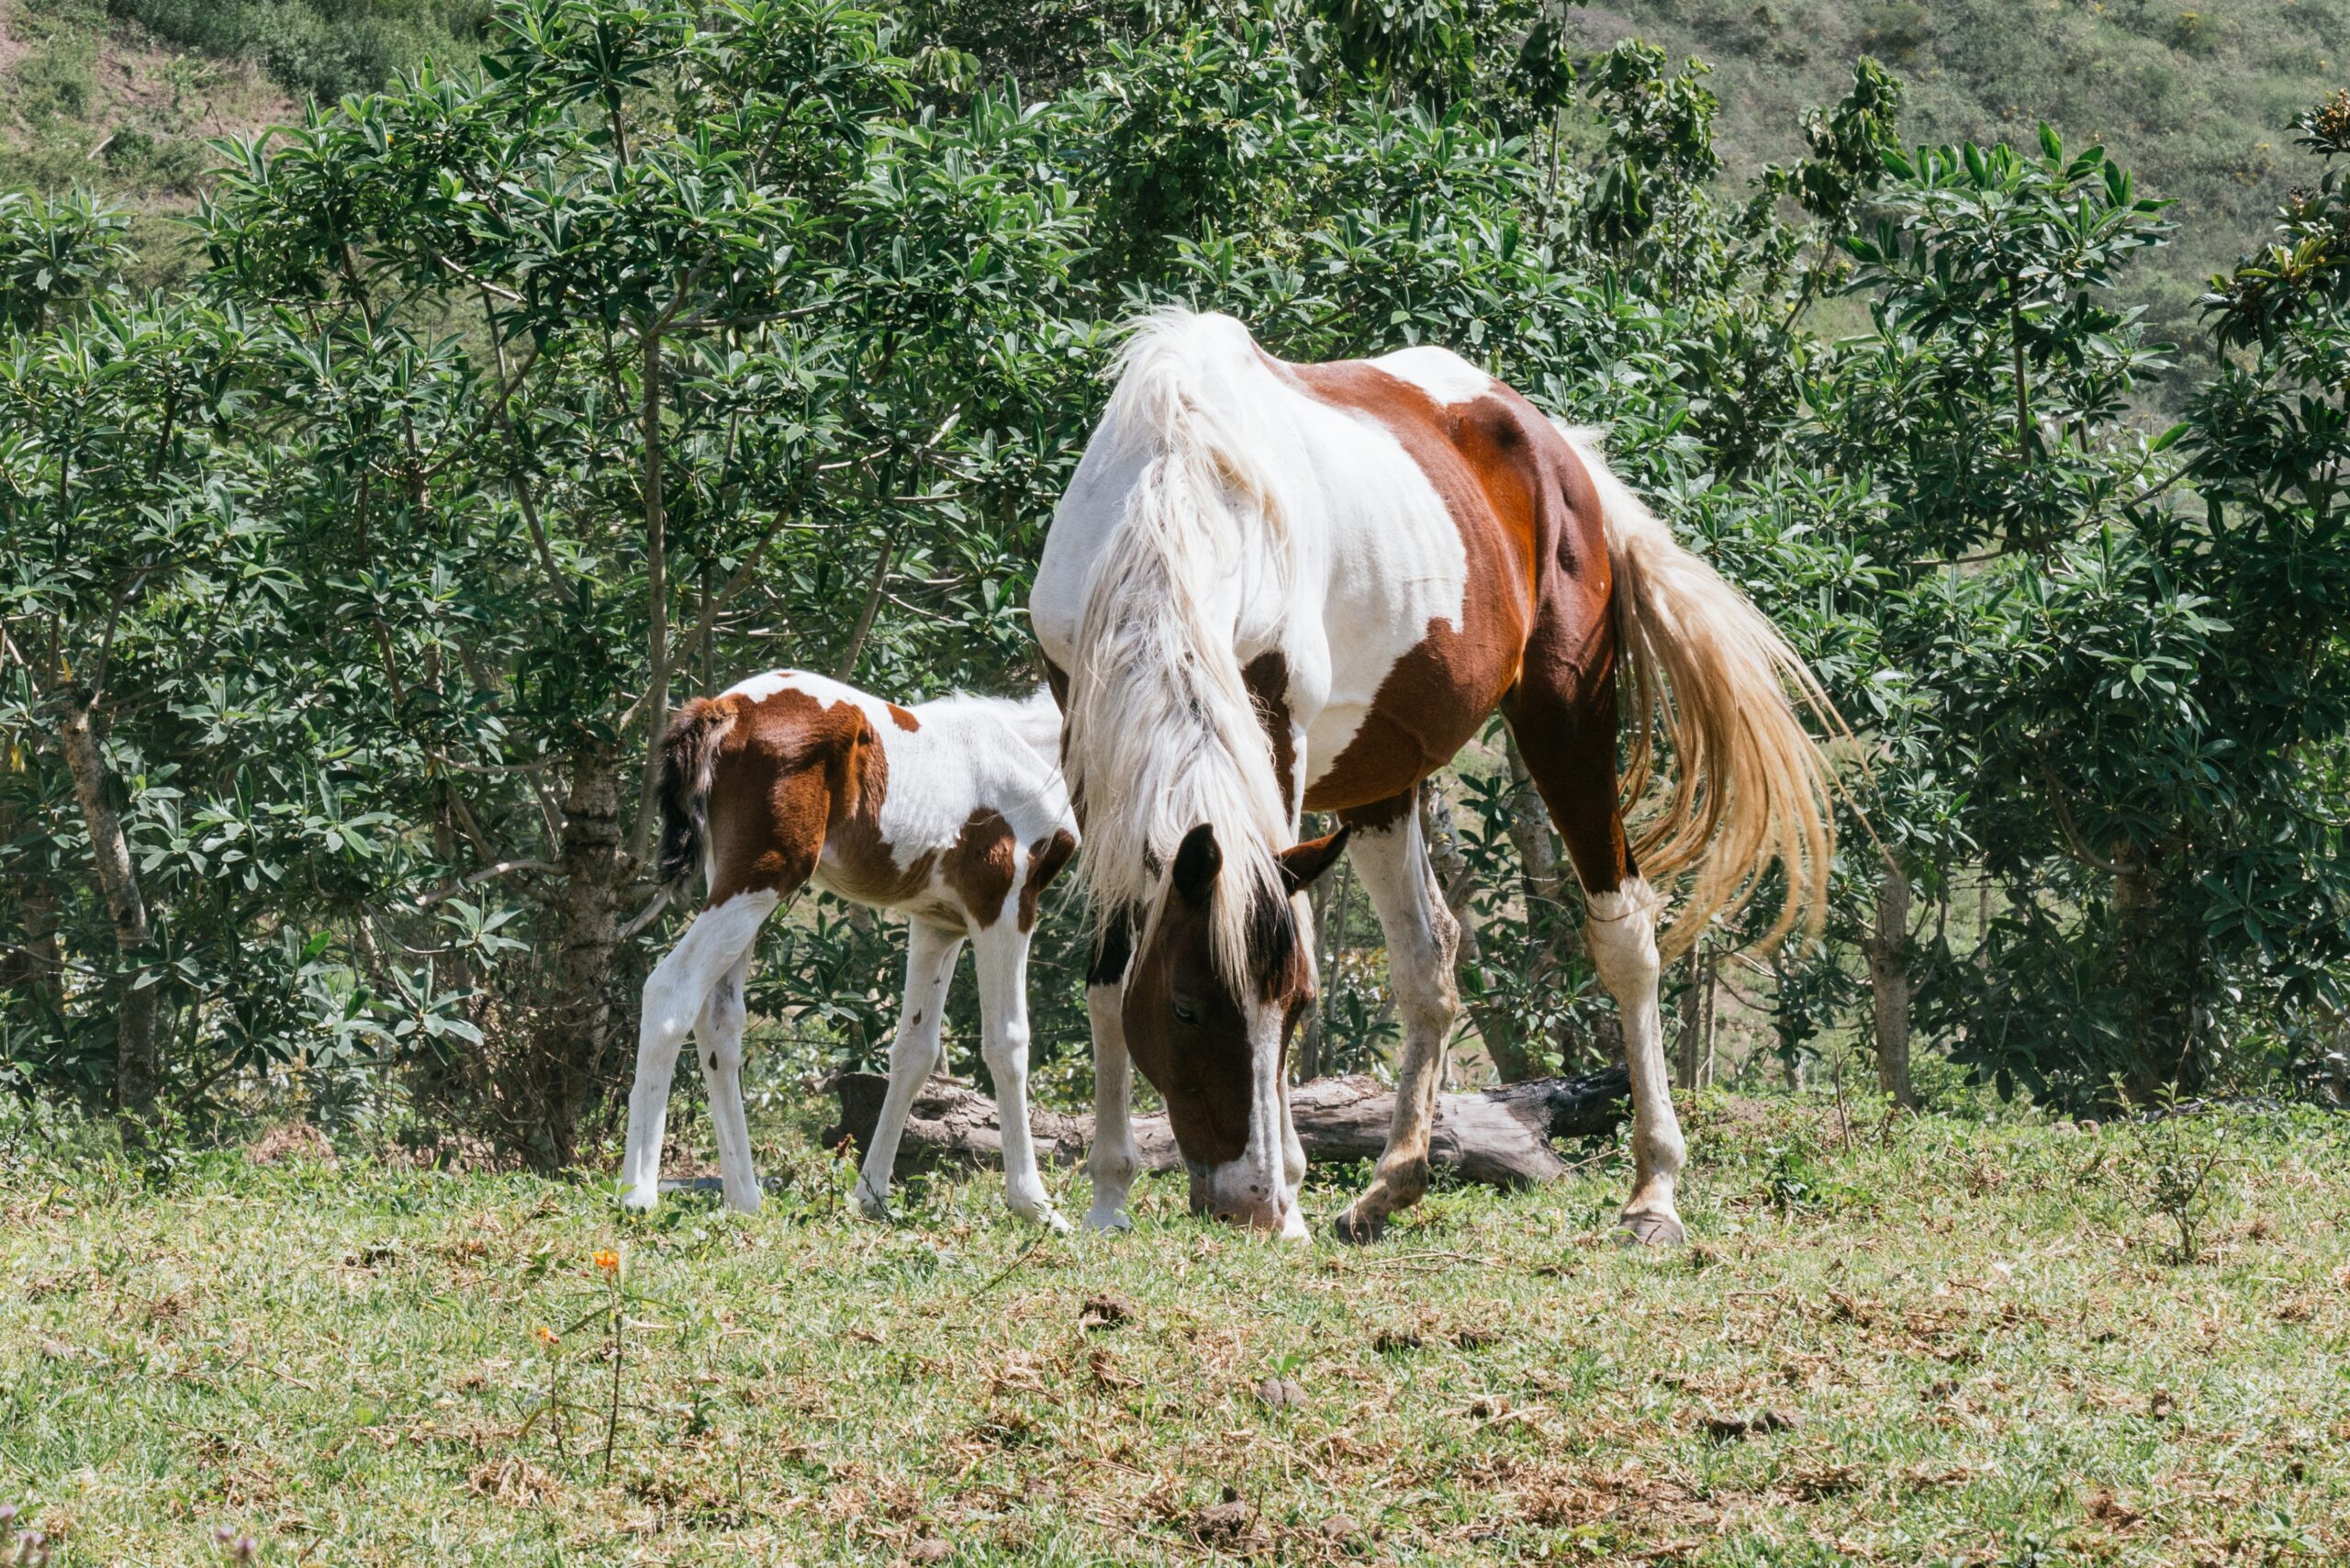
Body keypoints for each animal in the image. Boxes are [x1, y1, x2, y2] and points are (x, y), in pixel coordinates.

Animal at [617, 670, 1079, 1229]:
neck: (1029, 750)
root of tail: (724, 708)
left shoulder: (938, 924)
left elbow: (915, 1052)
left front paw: (872, 1197)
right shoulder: (1004, 905)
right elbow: (1007, 1044)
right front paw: (1036, 1206)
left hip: (731, 881)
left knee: (718, 1018)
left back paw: (744, 1198)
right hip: (764, 876)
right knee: (671, 990)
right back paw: (638, 1194)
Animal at [1032, 309, 1834, 1244]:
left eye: (1299, 1008)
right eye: (1187, 1007)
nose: (1251, 1205)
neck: (1175, 491)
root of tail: (1556, 447)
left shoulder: (1276, 741)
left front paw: (1290, 1187)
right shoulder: (1091, 748)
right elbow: (1108, 972)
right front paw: (1108, 1196)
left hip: (1565, 718)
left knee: (1625, 933)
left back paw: (1653, 1193)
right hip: (1382, 780)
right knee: (1429, 963)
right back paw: (1393, 1181)